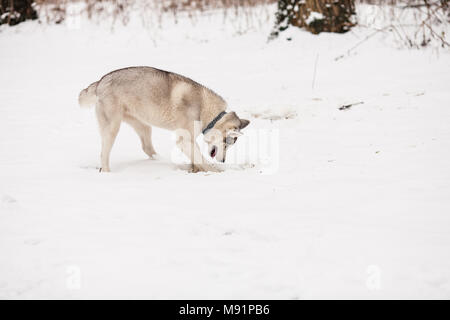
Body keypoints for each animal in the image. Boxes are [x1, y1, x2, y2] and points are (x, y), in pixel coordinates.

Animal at [78, 67, 250, 172]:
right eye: (227, 144)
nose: (223, 161)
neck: (207, 111)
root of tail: (101, 81)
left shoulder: (188, 141)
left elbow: (197, 159)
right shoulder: (185, 139)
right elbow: (202, 159)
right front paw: (217, 170)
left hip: (144, 125)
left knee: (147, 147)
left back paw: (160, 160)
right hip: (112, 128)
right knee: (103, 154)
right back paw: (106, 172)